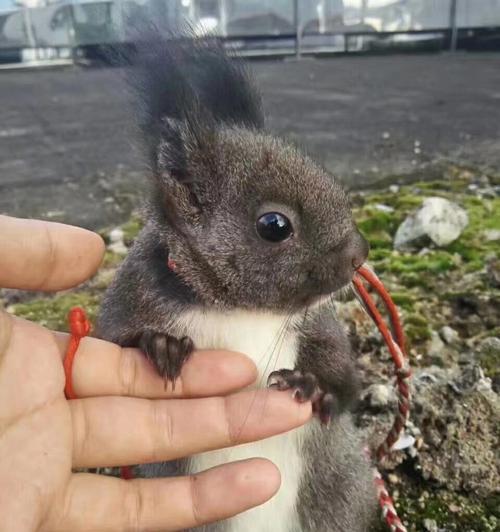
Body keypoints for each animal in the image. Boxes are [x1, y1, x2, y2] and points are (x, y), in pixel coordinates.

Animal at [97, 32, 376, 532]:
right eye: (274, 225)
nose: (359, 254)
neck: (239, 306)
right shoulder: (130, 298)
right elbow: (115, 342)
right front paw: (160, 345)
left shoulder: (317, 324)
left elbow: (345, 379)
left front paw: (314, 385)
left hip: (340, 492)